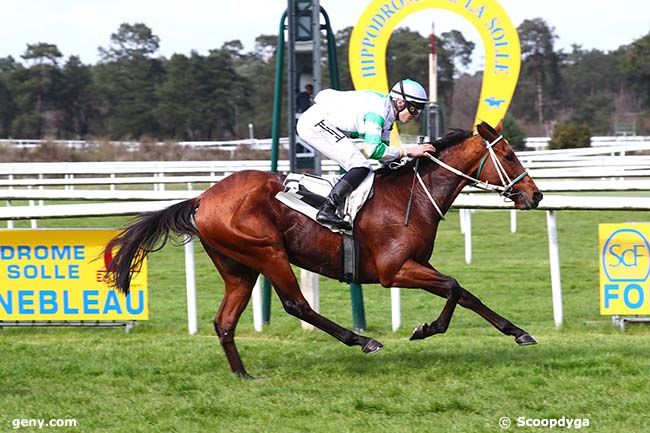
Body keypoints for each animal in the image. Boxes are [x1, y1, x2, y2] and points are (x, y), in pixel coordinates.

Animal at [105, 120, 540, 376]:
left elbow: (465, 293)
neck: (412, 194)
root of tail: (202, 199)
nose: (535, 196)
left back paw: (243, 374)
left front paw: (518, 332)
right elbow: (452, 286)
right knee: (297, 305)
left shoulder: (417, 264)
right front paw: (426, 329)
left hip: (239, 268)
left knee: (224, 322)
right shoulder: (394, 270)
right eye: (507, 154)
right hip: (268, 253)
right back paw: (362, 340)